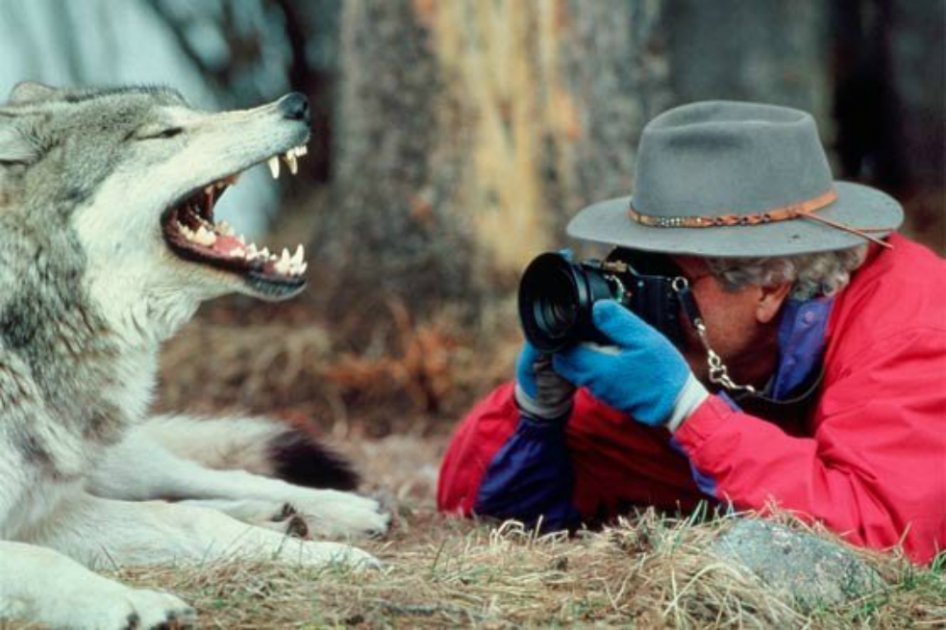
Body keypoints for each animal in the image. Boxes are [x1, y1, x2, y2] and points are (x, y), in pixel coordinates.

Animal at [0, 82, 389, 628]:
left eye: (189, 112)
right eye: (165, 133)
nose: (296, 104)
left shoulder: (40, 509)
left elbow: (185, 517)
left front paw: (328, 558)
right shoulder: (32, 520)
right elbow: (43, 559)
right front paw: (134, 604)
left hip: (111, 462)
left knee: (194, 480)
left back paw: (332, 511)